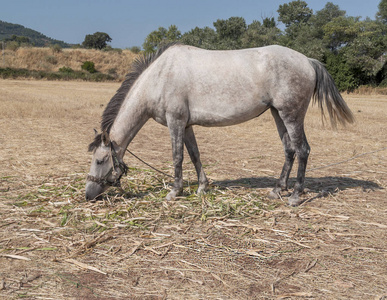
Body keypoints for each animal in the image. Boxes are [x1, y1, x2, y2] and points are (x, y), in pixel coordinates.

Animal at [85, 42, 354, 206]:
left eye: (100, 160)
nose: (88, 195)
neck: (159, 77)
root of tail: (307, 61)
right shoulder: (186, 125)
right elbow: (194, 155)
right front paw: (202, 187)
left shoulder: (175, 122)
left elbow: (177, 157)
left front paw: (174, 191)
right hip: (278, 114)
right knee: (289, 150)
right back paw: (278, 189)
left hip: (291, 115)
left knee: (302, 150)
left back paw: (295, 195)